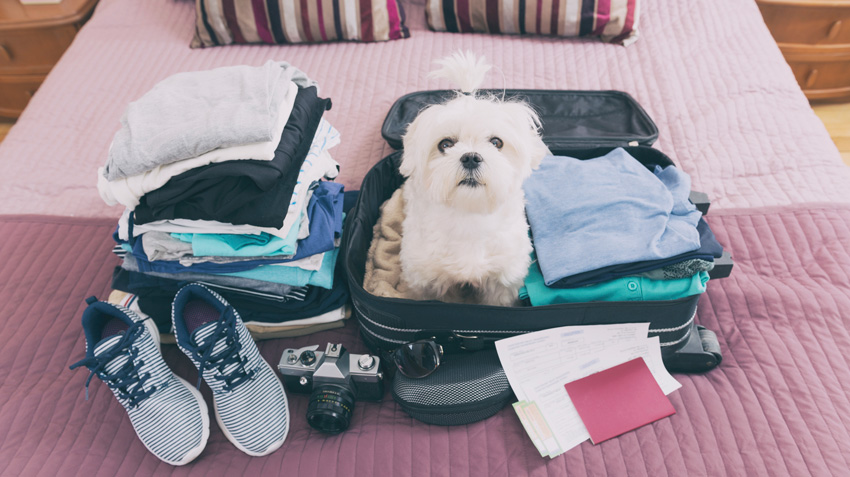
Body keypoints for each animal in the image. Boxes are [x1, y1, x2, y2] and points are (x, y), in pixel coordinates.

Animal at [398, 52, 548, 304]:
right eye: (445, 144)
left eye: (496, 142)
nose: (470, 157)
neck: (469, 215)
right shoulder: (430, 281)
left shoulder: (502, 282)